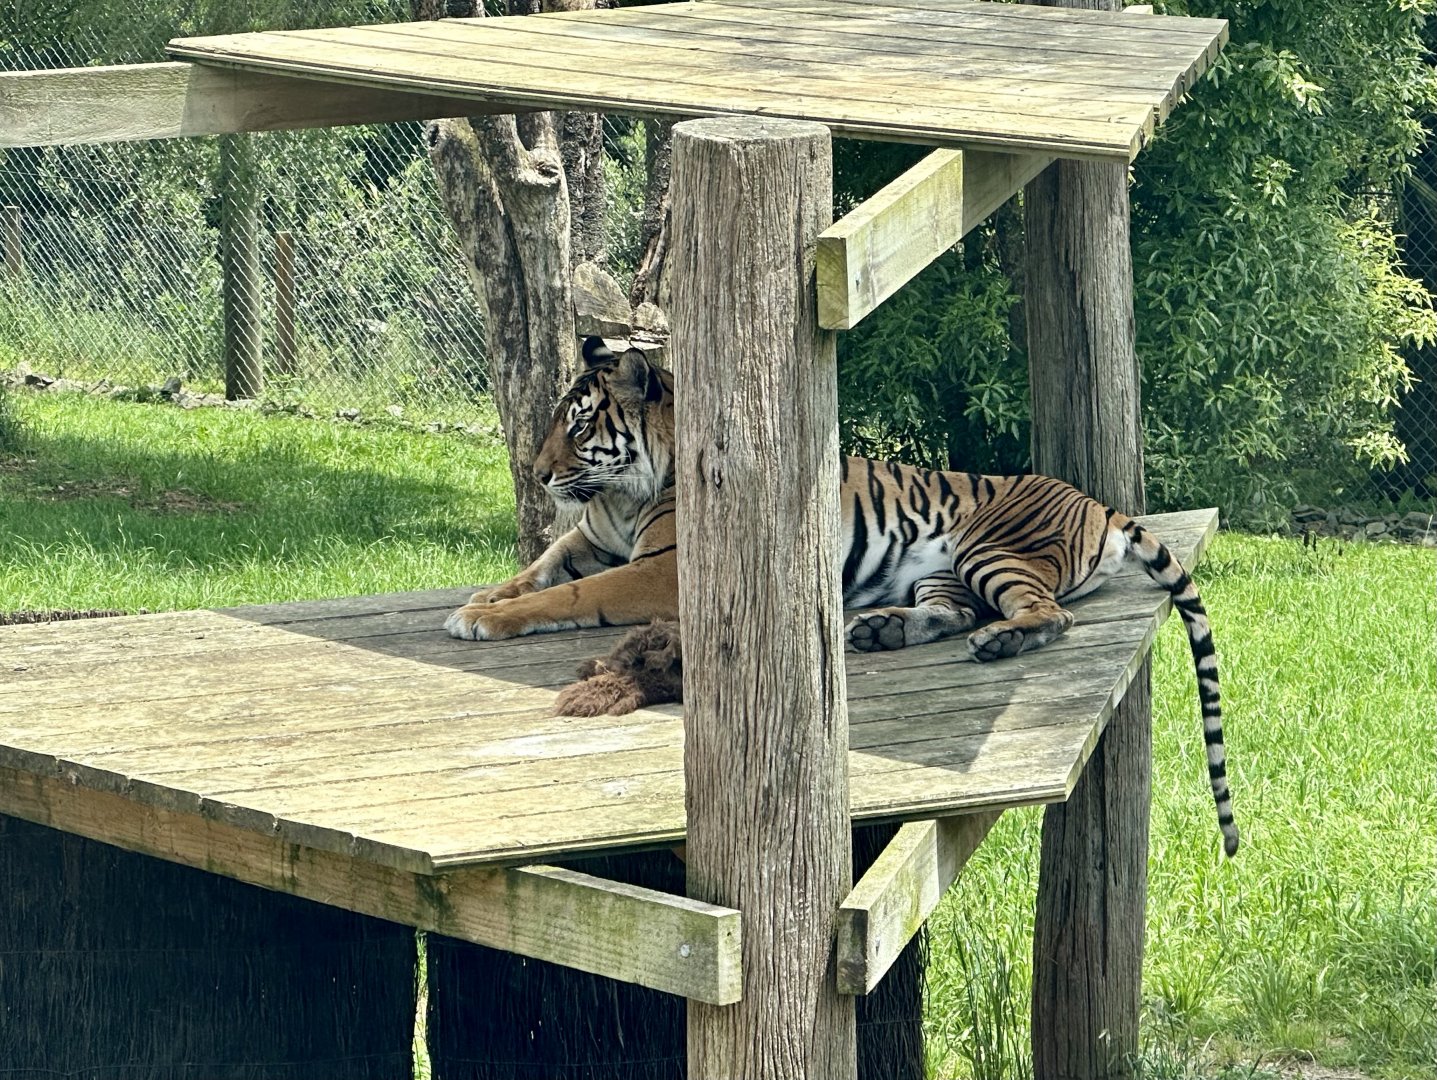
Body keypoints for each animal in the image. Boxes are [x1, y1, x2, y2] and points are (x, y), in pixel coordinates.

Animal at [445, 337, 1238, 856]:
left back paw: (997, 640)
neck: (620, 493)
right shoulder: (590, 539)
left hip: (988, 547)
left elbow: (569, 595)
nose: (539, 474)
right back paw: (880, 630)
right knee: (950, 612)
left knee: (1048, 614)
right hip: (943, 569)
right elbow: (539, 568)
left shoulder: (660, 569)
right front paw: (480, 599)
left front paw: (483, 619)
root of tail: (1097, 503)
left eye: (579, 425)